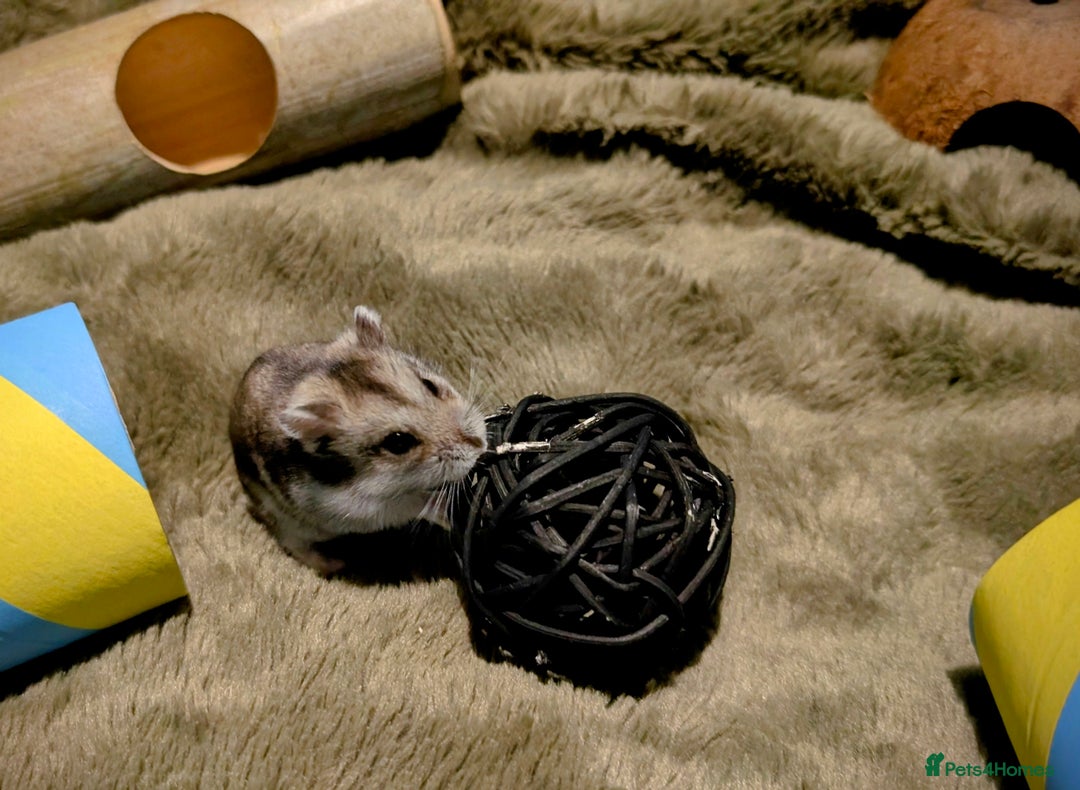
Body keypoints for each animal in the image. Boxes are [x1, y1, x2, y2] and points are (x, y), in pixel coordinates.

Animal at [229, 306, 487, 574]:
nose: (481, 444)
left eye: (430, 385)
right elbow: (418, 503)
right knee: (294, 545)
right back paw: (334, 565)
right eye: (398, 443)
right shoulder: (365, 509)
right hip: (287, 523)